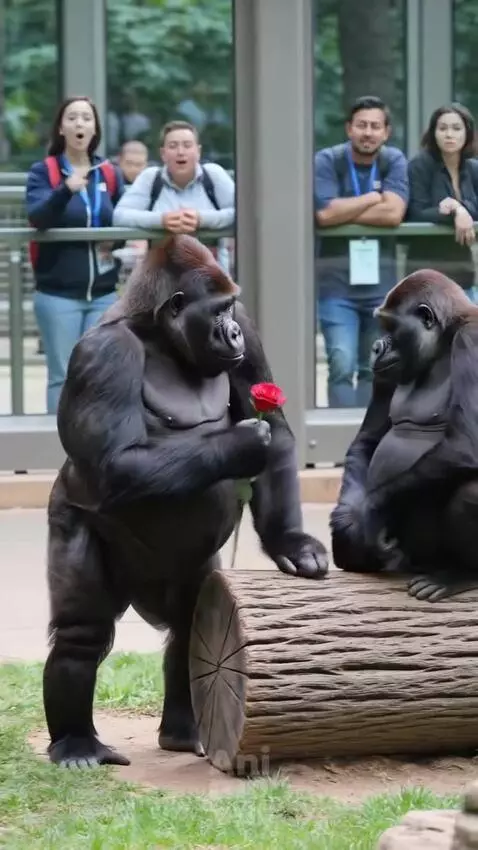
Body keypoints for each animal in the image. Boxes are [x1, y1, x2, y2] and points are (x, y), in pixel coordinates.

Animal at [42, 234, 329, 768]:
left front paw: (290, 542)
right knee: (81, 631)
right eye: (217, 312)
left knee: (189, 623)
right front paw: (241, 444)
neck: (158, 334)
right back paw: (75, 743)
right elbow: (117, 463)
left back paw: (182, 731)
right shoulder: (103, 353)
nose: (232, 332)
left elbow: (278, 432)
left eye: (232, 309)